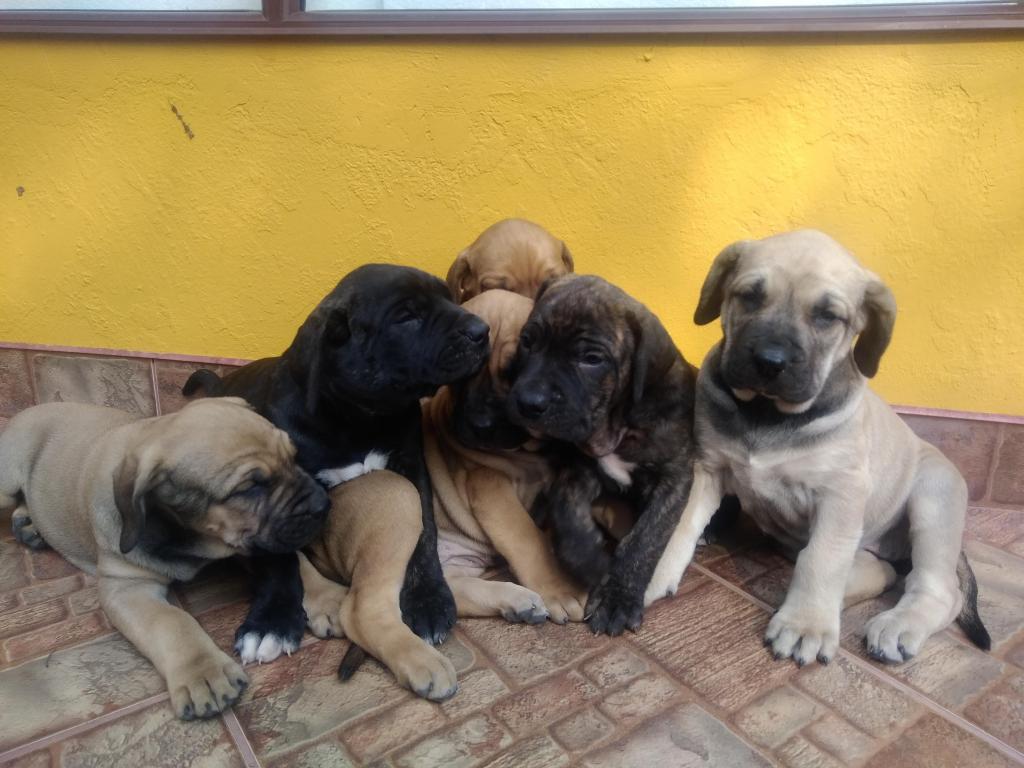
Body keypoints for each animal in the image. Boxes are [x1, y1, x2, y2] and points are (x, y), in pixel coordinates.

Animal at [0, 399, 327, 720]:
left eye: (294, 457)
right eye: (248, 489)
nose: (324, 504)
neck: (186, 535)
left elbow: (290, 560)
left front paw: (326, 598)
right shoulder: (126, 587)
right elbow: (171, 620)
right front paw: (203, 672)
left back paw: (30, 525)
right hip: (6, 482)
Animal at [186, 264, 489, 667]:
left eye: (450, 298)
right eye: (406, 317)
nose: (482, 330)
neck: (358, 418)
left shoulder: (411, 468)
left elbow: (425, 533)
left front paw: (428, 598)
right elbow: (278, 558)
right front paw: (272, 622)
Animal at [507, 276, 700, 638]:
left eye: (591, 359)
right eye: (527, 342)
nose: (528, 402)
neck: (619, 424)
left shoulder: (674, 478)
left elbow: (645, 540)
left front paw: (618, 599)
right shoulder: (581, 467)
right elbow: (567, 515)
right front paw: (593, 563)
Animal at [647, 228, 991, 667]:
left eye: (828, 316)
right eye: (750, 296)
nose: (769, 361)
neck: (766, 415)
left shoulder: (840, 493)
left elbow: (822, 558)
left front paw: (805, 624)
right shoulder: (706, 467)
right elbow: (678, 524)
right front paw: (645, 574)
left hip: (933, 497)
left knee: (937, 588)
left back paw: (896, 624)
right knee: (879, 571)